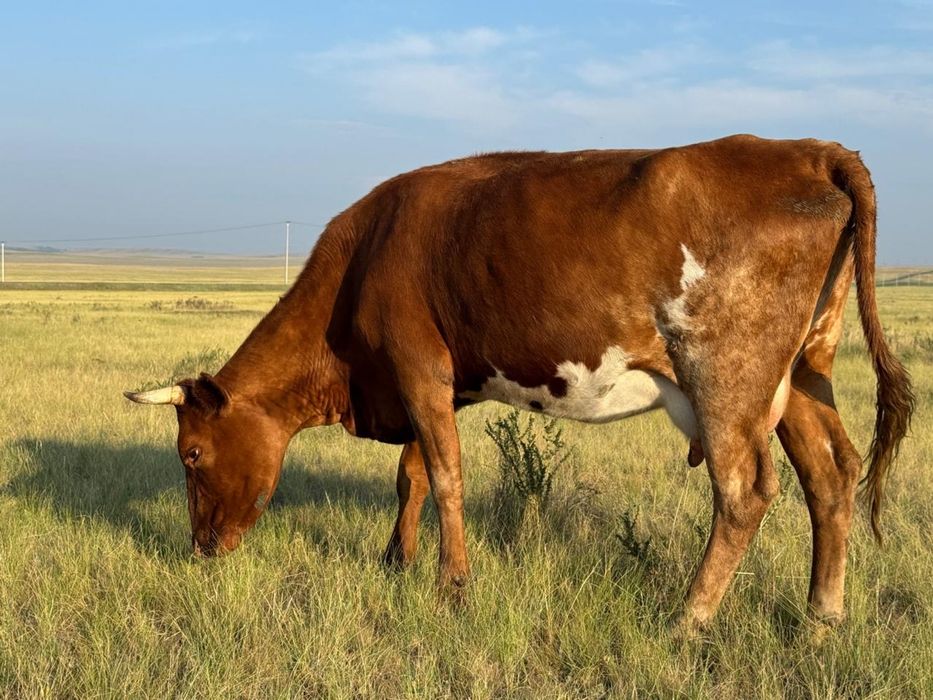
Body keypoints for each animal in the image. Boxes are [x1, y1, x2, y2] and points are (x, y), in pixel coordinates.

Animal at [125, 134, 913, 634]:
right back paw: (821, 619)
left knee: (745, 492)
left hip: (728, 378)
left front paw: (452, 588)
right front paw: (396, 561)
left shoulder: (417, 363)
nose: (200, 549)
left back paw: (687, 619)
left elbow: (444, 475)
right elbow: (412, 474)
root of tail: (808, 149)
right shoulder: (436, 383)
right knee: (831, 475)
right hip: (803, 372)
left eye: (191, 454)